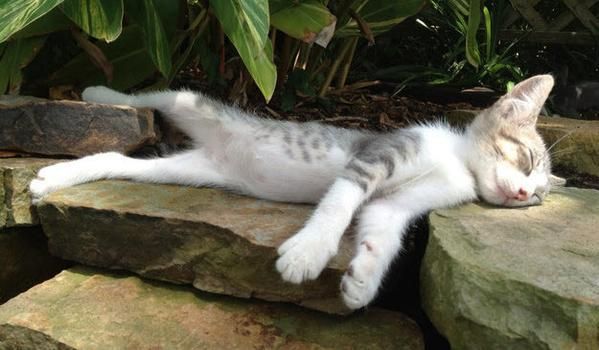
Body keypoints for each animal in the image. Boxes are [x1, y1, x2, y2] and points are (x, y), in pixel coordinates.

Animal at [30, 74, 556, 308]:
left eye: (537, 197)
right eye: (526, 160)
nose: (520, 195)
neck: (456, 162)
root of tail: (220, 147)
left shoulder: (400, 203)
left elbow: (382, 226)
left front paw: (363, 281)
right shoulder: (381, 153)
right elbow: (341, 201)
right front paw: (309, 251)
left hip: (193, 170)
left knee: (122, 163)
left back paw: (56, 177)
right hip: (195, 107)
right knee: (159, 95)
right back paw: (99, 95)